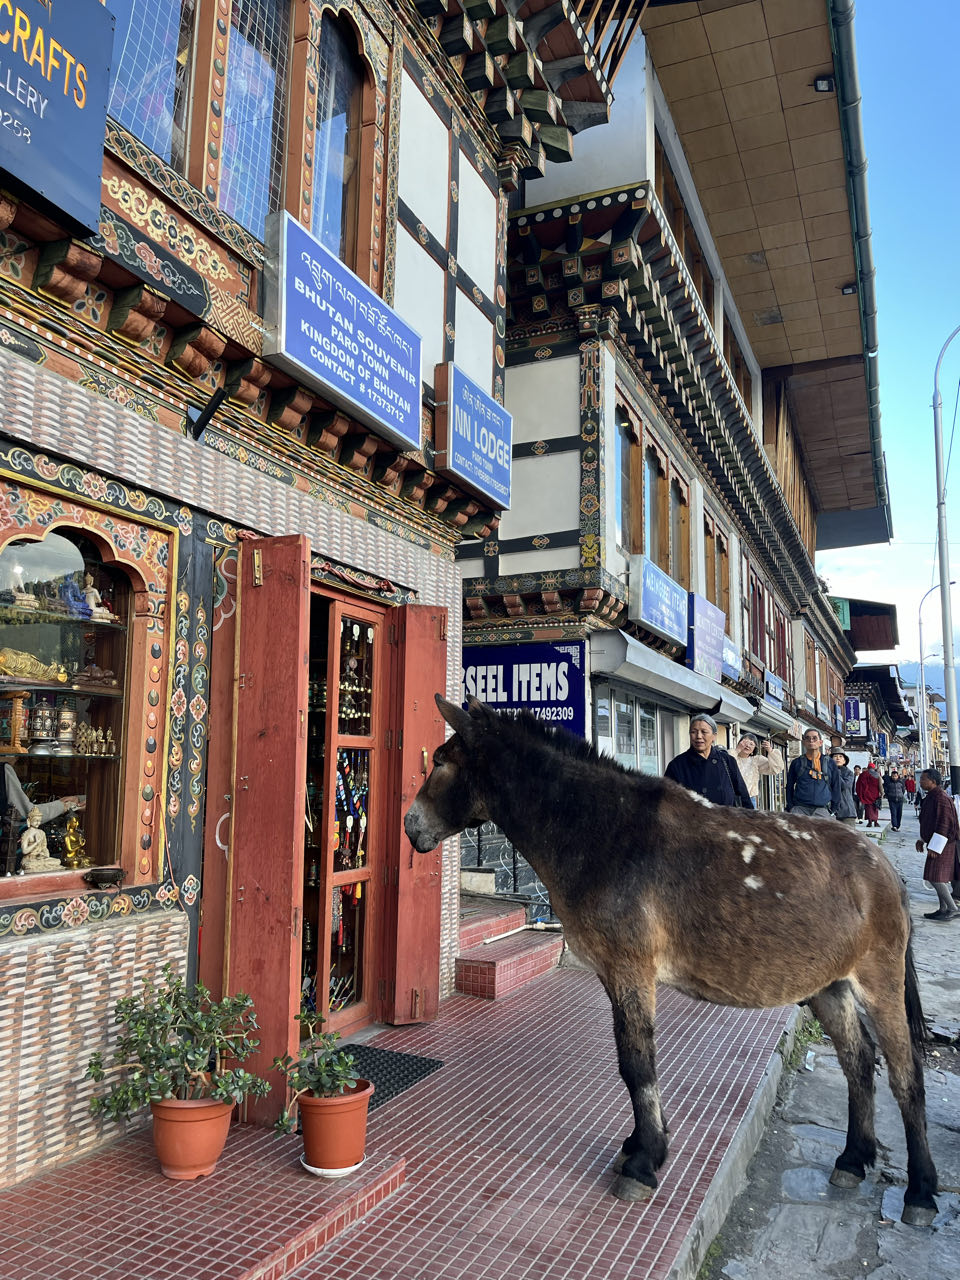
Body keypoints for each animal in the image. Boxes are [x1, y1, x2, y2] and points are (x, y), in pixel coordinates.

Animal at [404, 696, 939, 1227]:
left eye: (440, 762)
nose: (411, 825)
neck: (602, 830)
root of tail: (884, 869)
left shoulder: (630, 970)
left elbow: (637, 1063)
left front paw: (644, 1161)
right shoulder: (616, 975)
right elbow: (634, 1061)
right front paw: (644, 1144)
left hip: (879, 981)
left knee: (905, 1074)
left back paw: (920, 1190)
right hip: (829, 986)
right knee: (859, 1061)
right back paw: (853, 1158)